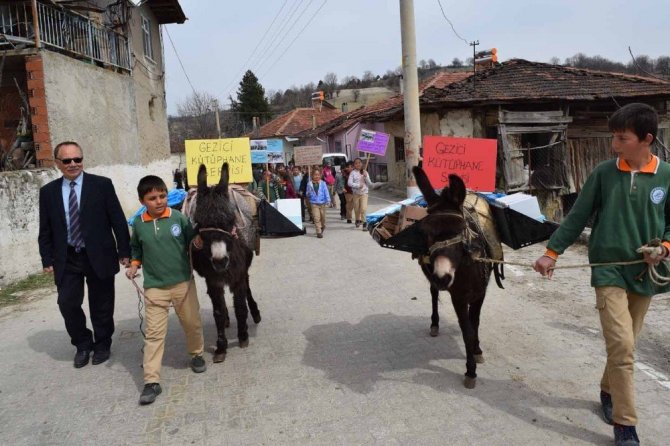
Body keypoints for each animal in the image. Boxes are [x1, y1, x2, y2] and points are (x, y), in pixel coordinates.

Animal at [190, 162, 261, 363]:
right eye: (199, 222)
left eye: (230, 220)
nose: (220, 261)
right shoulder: (213, 280)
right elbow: (218, 312)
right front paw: (221, 347)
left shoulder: (237, 276)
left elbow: (240, 307)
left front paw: (243, 336)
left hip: (244, 270)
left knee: (247, 288)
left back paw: (255, 313)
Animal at [413, 165, 503, 388]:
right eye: (426, 232)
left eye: (462, 229)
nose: (443, 277)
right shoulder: (458, 298)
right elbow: (466, 330)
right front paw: (471, 371)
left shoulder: (480, 293)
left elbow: (475, 323)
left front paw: (477, 351)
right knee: (433, 294)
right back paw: (434, 324)